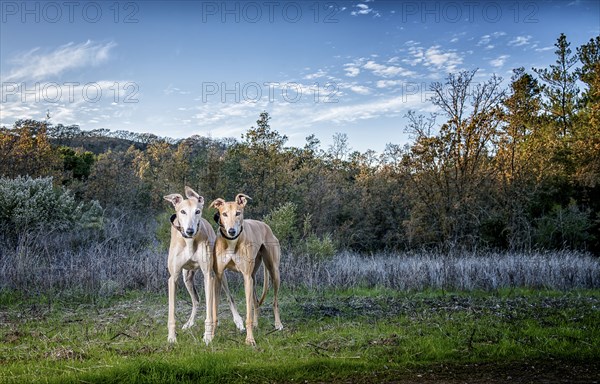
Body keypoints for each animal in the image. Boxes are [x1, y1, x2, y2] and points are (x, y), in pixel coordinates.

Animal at [164, 187, 244, 344]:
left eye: (197, 211)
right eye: (182, 211)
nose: (190, 231)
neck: (189, 242)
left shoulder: (208, 275)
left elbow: (210, 310)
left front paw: (207, 337)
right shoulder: (173, 278)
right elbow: (172, 312)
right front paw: (171, 338)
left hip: (219, 275)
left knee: (229, 297)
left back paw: (239, 322)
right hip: (187, 278)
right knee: (196, 300)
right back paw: (189, 323)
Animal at [211, 194, 284, 346]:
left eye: (238, 213)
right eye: (224, 214)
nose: (231, 231)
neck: (231, 242)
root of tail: (265, 225)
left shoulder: (246, 277)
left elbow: (248, 314)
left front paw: (250, 339)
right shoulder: (218, 277)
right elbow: (214, 312)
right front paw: (210, 337)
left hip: (273, 272)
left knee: (274, 302)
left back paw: (278, 324)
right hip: (253, 278)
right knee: (255, 302)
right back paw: (256, 324)